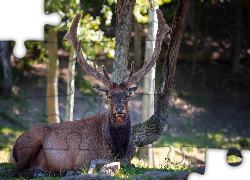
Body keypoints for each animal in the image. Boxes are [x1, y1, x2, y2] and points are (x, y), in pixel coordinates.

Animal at [10, 9, 169, 178]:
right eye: (109, 96)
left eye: (127, 95)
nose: (119, 108)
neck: (119, 149)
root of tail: (13, 148)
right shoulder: (84, 158)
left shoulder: (130, 157)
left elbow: (131, 164)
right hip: (31, 141)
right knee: (17, 170)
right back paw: (46, 172)